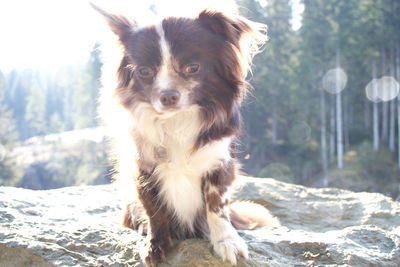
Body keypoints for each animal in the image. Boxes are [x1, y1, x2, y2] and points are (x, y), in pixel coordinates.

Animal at [92, 3, 276, 266]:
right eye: (144, 71)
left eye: (193, 68)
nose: (168, 96)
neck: (177, 121)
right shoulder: (143, 170)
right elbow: (155, 211)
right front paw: (155, 245)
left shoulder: (219, 162)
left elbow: (217, 206)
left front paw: (226, 241)